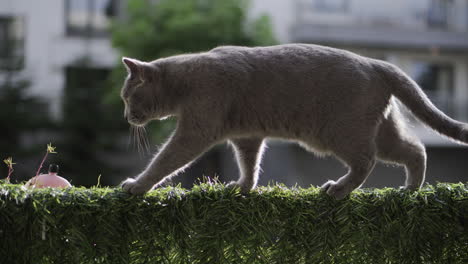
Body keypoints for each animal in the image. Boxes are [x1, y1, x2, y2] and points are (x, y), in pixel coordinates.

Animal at [119, 44, 468, 199]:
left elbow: (165, 160)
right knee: (415, 149)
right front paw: (242, 187)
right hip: (381, 130)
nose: (126, 116)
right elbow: (250, 163)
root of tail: (377, 63)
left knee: (366, 162)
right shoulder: (247, 135)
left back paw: (338, 189)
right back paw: (410, 188)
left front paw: (137, 185)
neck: (185, 81)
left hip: (340, 132)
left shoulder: (196, 129)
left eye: (128, 97)